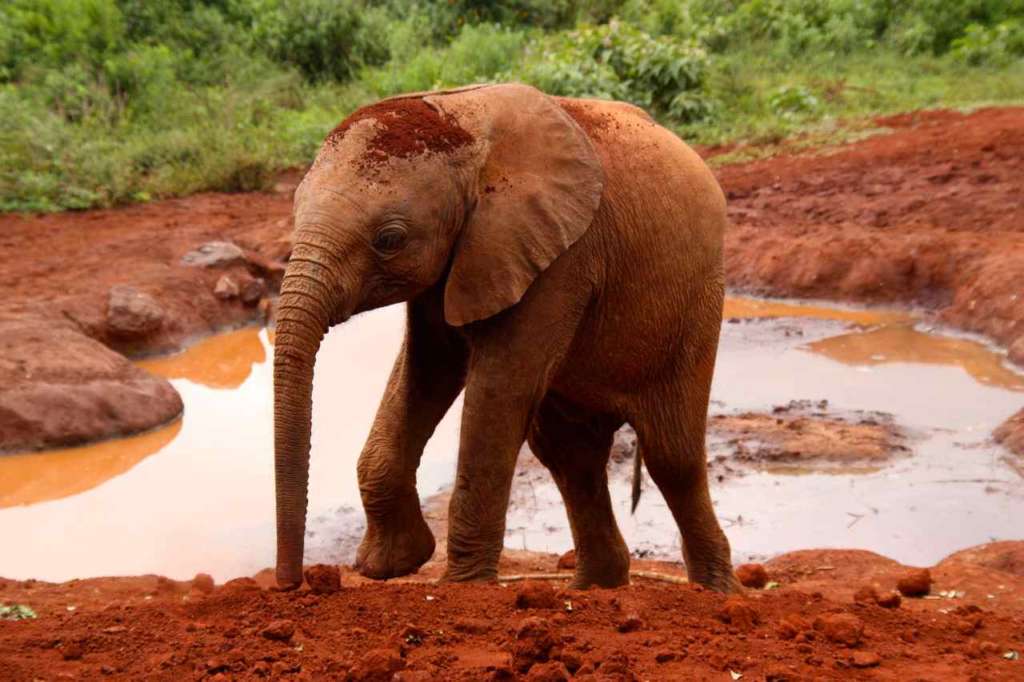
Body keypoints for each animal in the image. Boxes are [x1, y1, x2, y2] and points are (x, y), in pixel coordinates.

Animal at [273, 83, 740, 594]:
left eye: (390, 239)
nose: (289, 584)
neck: (460, 120)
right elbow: (426, 369)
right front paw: (389, 564)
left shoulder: (561, 256)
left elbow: (499, 389)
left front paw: (462, 587)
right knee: (570, 455)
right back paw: (595, 588)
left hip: (696, 305)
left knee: (670, 456)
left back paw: (716, 592)